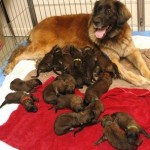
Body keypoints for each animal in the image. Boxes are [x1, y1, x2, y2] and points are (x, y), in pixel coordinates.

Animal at [3, 0, 150, 86]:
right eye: (97, 10)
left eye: (108, 11)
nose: (95, 21)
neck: (115, 36)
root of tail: (36, 25)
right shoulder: (112, 59)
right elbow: (125, 71)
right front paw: (139, 80)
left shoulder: (132, 52)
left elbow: (143, 64)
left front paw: (147, 74)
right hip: (43, 47)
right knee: (19, 52)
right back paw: (8, 66)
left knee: (20, 49)